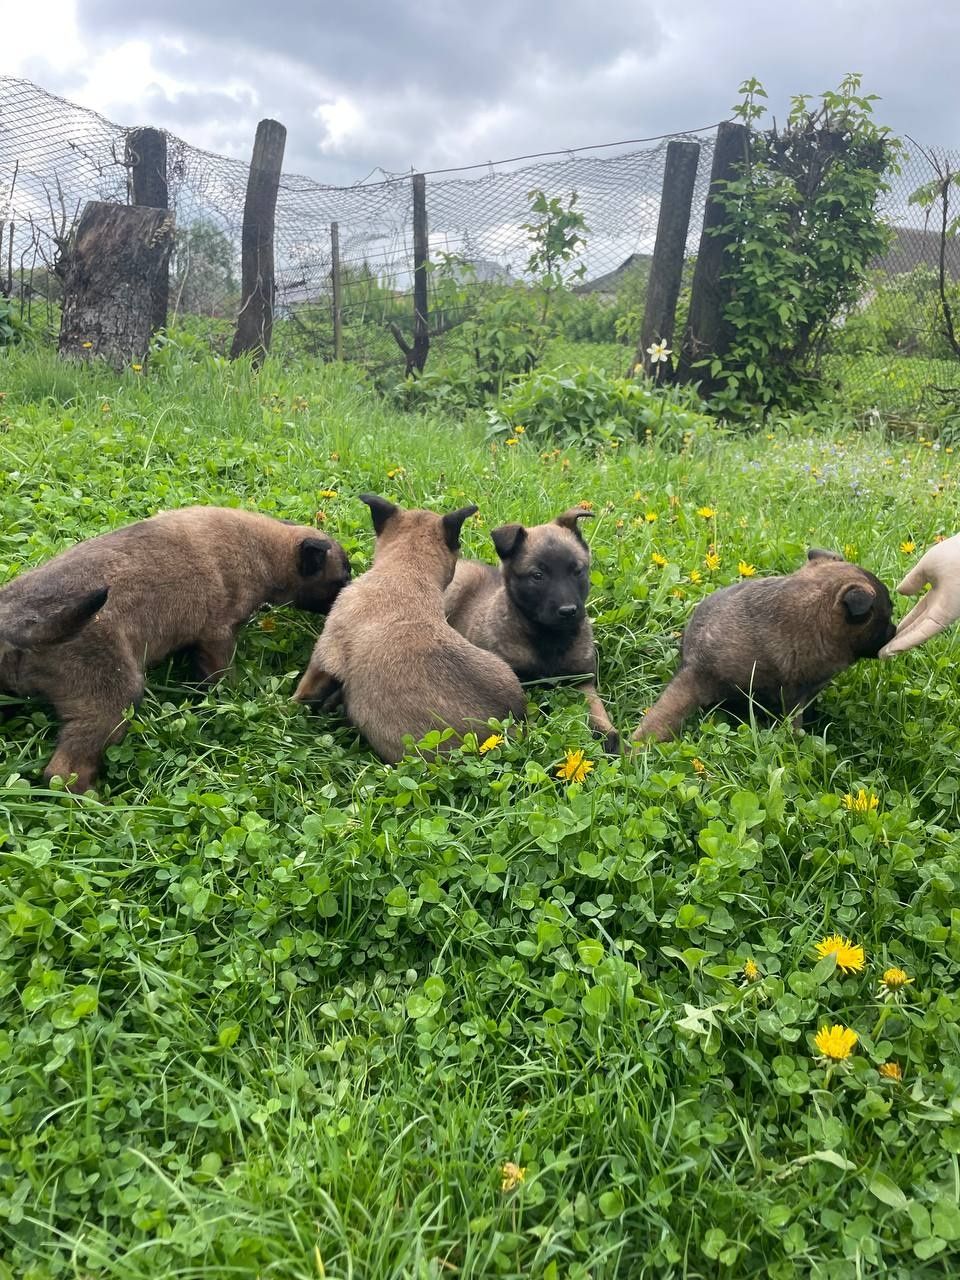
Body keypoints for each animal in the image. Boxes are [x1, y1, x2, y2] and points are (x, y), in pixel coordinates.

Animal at [0, 501, 353, 788]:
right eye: (342, 577)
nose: (352, 594)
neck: (265, 550)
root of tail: (18, 621)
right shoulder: (217, 635)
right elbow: (223, 676)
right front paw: (235, 696)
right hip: (113, 696)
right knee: (63, 771)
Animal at [445, 506, 619, 747]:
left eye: (577, 571)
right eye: (538, 575)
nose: (568, 611)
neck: (550, 637)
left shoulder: (582, 681)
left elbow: (598, 714)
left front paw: (611, 739)